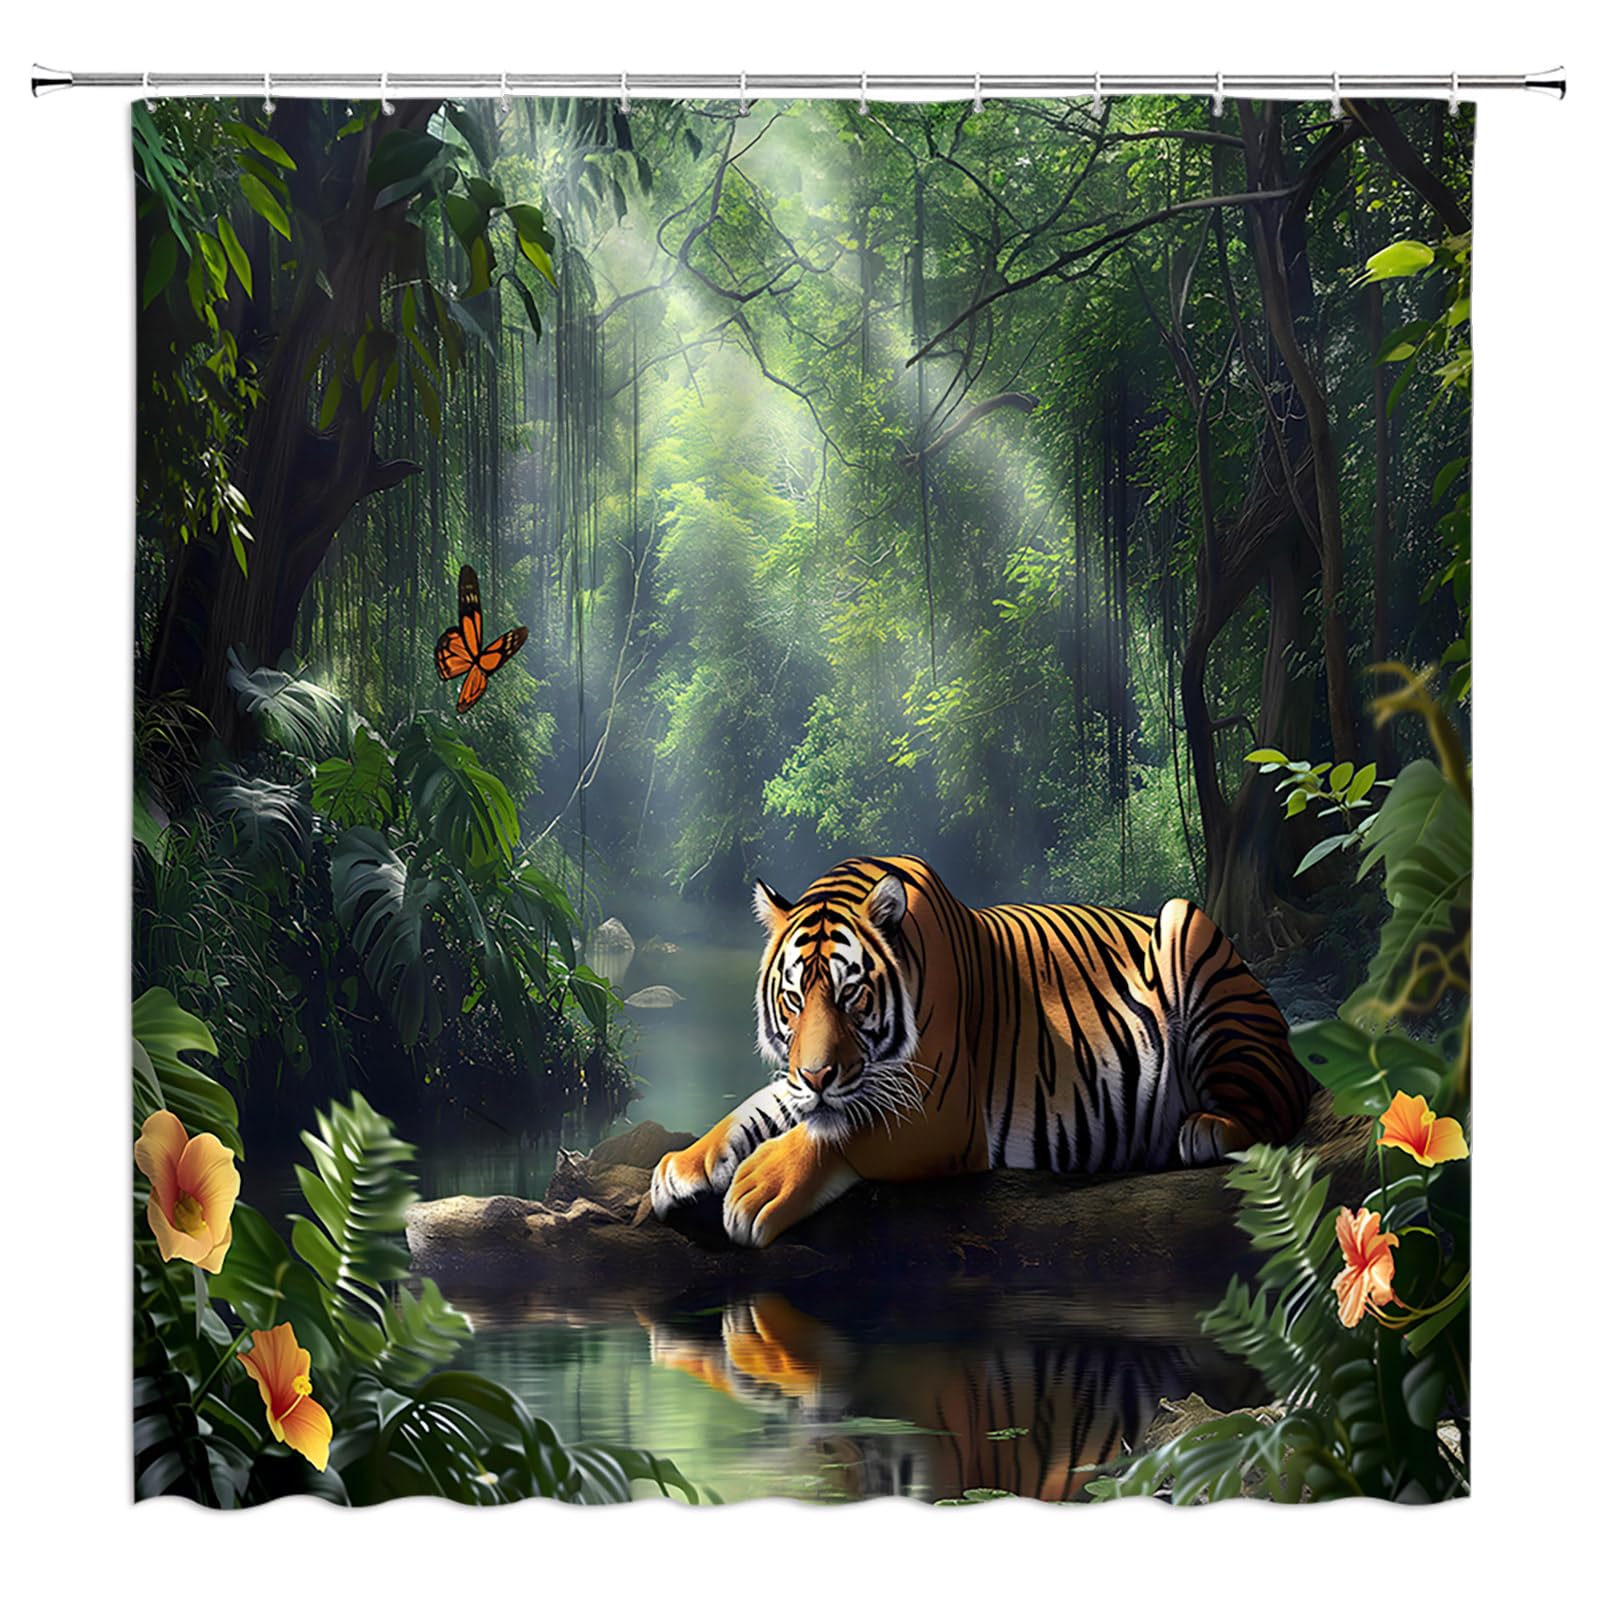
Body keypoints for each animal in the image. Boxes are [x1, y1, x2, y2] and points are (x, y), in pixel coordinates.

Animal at [650, 854, 1311, 1248]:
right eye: (793, 1000)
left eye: (851, 995)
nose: (816, 1075)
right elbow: (754, 1110)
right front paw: (681, 1166)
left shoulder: (939, 1115)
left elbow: (841, 1132)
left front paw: (759, 1185)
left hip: (1189, 933)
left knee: (1276, 1102)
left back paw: (1206, 1127)